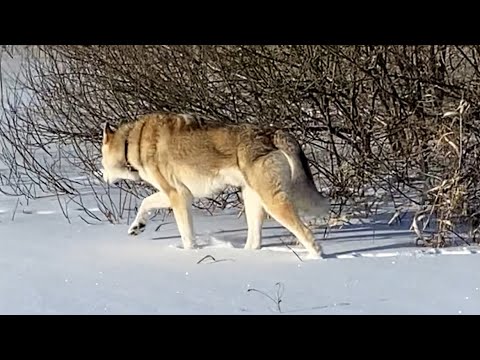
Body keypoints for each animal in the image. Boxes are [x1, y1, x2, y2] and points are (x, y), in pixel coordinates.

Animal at [101, 112, 330, 256]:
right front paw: (137, 226)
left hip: (273, 203)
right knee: (255, 242)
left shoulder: (178, 196)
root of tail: (272, 133)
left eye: (102, 162)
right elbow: (145, 203)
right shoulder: (176, 193)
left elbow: (187, 236)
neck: (131, 143)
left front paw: (189, 253)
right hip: (252, 201)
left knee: (306, 235)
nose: (103, 179)